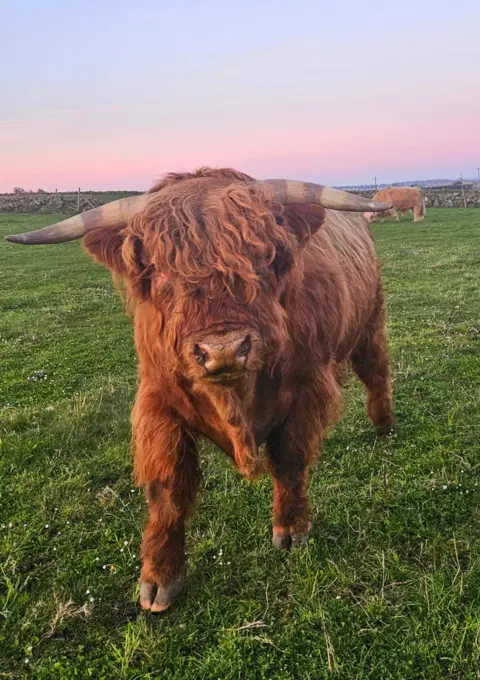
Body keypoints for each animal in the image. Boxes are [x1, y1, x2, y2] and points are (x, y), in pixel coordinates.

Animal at [7, 168, 395, 613]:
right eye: (158, 271)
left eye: (267, 258)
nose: (223, 349)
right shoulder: (158, 403)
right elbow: (168, 490)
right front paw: (160, 577)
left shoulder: (305, 388)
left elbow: (290, 461)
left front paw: (290, 529)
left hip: (370, 321)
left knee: (375, 370)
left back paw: (384, 424)